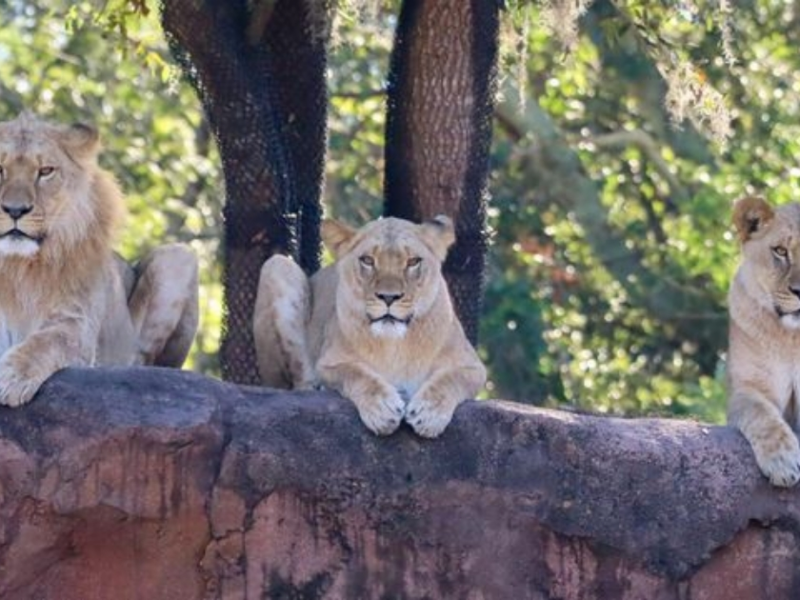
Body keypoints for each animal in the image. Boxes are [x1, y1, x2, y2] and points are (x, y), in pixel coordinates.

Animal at [0, 112, 199, 408]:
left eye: (45, 171)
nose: (15, 210)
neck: (15, 265)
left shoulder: (76, 323)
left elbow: (46, 342)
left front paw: (12, 377)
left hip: (176, 257)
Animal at [253, 215, 486, 438]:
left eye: (413, 261)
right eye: (367, 260)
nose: (389, 297)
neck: (394, 343)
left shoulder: (474, 367)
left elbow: (451, 379)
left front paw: (428, 414)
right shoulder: (328, 363)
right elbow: (356, 372)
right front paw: (382, 408)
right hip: (277, 265)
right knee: (299, 383)